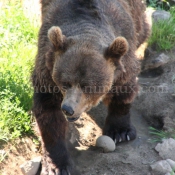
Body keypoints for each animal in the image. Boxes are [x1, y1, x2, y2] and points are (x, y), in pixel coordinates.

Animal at [31, 0, 149, 174]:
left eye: (87, 87)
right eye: (65, 83)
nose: (68, 109)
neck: (87, 27)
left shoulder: (124, 49)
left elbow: (123, 89)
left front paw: (121, 132)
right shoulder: (47, 67)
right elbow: (49, 113)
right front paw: (58, 165)